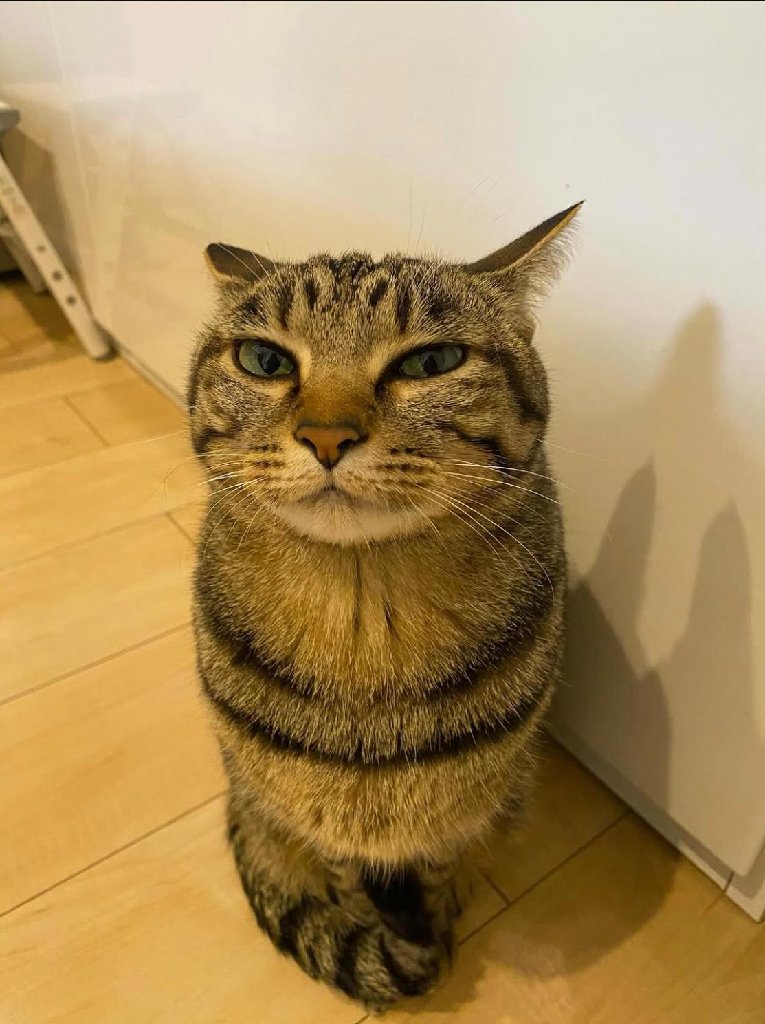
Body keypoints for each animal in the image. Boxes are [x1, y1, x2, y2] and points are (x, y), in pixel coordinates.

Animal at [189, 202, 579, 1010]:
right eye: (265, 361)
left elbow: (438, 863)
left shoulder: (465, 800)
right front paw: (384, 922)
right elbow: (345, 879)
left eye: (430, 363)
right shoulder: (313, 811)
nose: (326, 436)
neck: (365, 616)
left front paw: (437, 907)